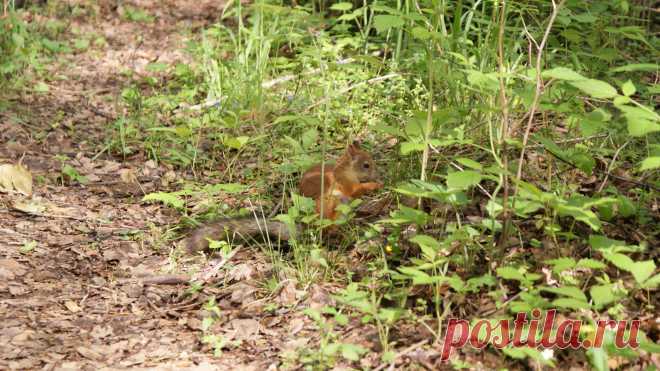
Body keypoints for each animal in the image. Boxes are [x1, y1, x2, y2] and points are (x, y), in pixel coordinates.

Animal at [183, 142, 384, 253]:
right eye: (366, 165)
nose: (377, 174)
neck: (346, 169)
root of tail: (308, 228)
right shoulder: (345, 183)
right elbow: (356, 189)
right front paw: (375, 185)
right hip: (329, 203)